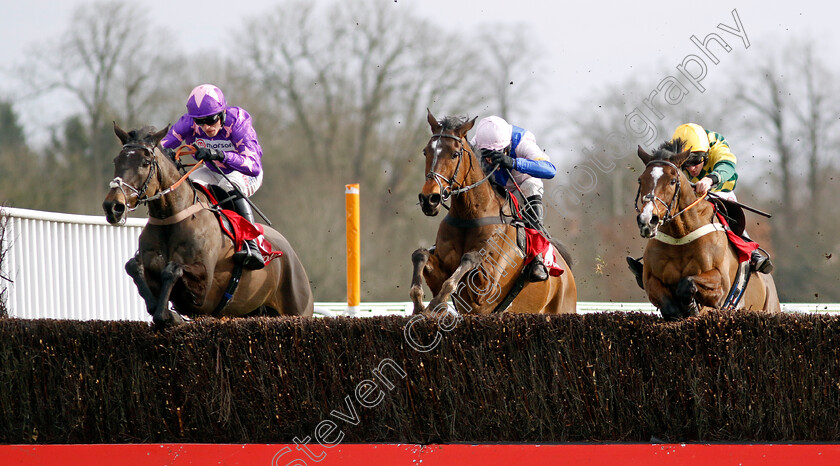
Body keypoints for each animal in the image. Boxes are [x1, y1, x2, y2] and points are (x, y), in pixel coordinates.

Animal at [103, 122, 314, 330]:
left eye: (145, 163)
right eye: (115, 161)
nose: (113, 206)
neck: (170, 220)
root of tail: (290, 252)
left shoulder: (204, 289)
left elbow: (172, 269)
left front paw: (172, 316)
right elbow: (133, 267)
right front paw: (166, 313)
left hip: (298, 308)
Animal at [408, 112, 576, 316]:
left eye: (455, 154)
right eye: (426, 152)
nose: (429, 199)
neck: (469, 216)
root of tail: (567, 273)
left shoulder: (487, 288)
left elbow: (470, 258)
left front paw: (435, 305)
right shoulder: (442, 271)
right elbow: (420, 255)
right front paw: (420, 304)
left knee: (531, 184)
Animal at [636, 139, 780, 320]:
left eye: (672, 181)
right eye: (640, 180)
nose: (647, 220)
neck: (680, 236)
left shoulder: (720, 284)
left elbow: (687, 283)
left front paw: (691, 307)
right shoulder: (651, 280)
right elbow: (669, 306)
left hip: (770, 308)